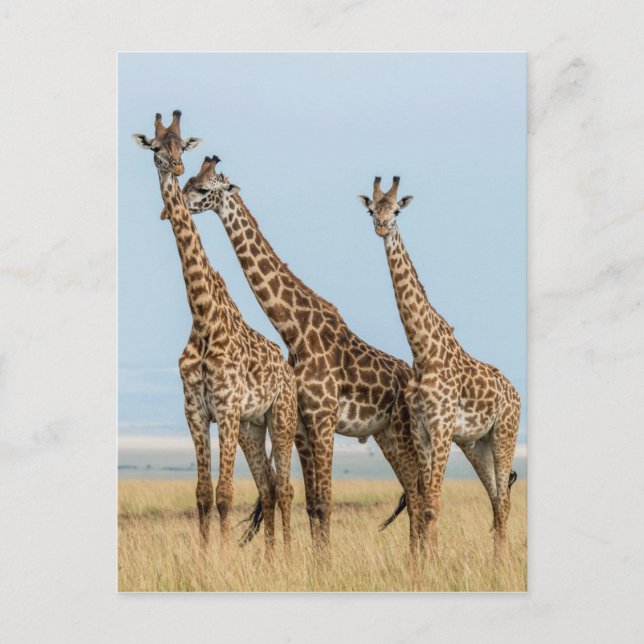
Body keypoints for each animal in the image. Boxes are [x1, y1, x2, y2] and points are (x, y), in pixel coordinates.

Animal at [132, 112, 297, 557]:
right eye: (156, 147)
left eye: (181, 147)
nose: (174, 168)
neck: (203, 317)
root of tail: (289, 368)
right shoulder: (194, 411)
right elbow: (203, 494)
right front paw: (207, 557)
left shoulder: (224, 408)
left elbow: (225, 495)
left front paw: (222, 559)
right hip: (252, 427)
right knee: (268, 486)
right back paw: (269, 559)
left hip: (282, 416)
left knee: (286, 488)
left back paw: (289, 556)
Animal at [181, 158, 424, 555]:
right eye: (188, 181)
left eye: (203, 188)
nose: (176, 204)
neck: (294, 330)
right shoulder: (303, 426)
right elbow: (311, 503)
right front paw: (314, 560)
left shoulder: (324, 419)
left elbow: (325, 502)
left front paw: (324, 563)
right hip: (384, 434)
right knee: (413, 493)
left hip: (404, 432)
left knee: (418, 495)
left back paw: (418, 560)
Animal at [358, 176, 521, 559]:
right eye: (371, 210)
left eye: (397, 210)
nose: (381, 226)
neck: (423, 353)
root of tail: (516, 393)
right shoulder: (422, 430)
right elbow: (426, 502)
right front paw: (427, 559)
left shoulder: (443, 426)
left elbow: (432, 503)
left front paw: (432, 561)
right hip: (477, 444)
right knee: (496, 499)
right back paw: (496, 561)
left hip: (505, 433)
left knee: (504, 500)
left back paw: (501, 561)